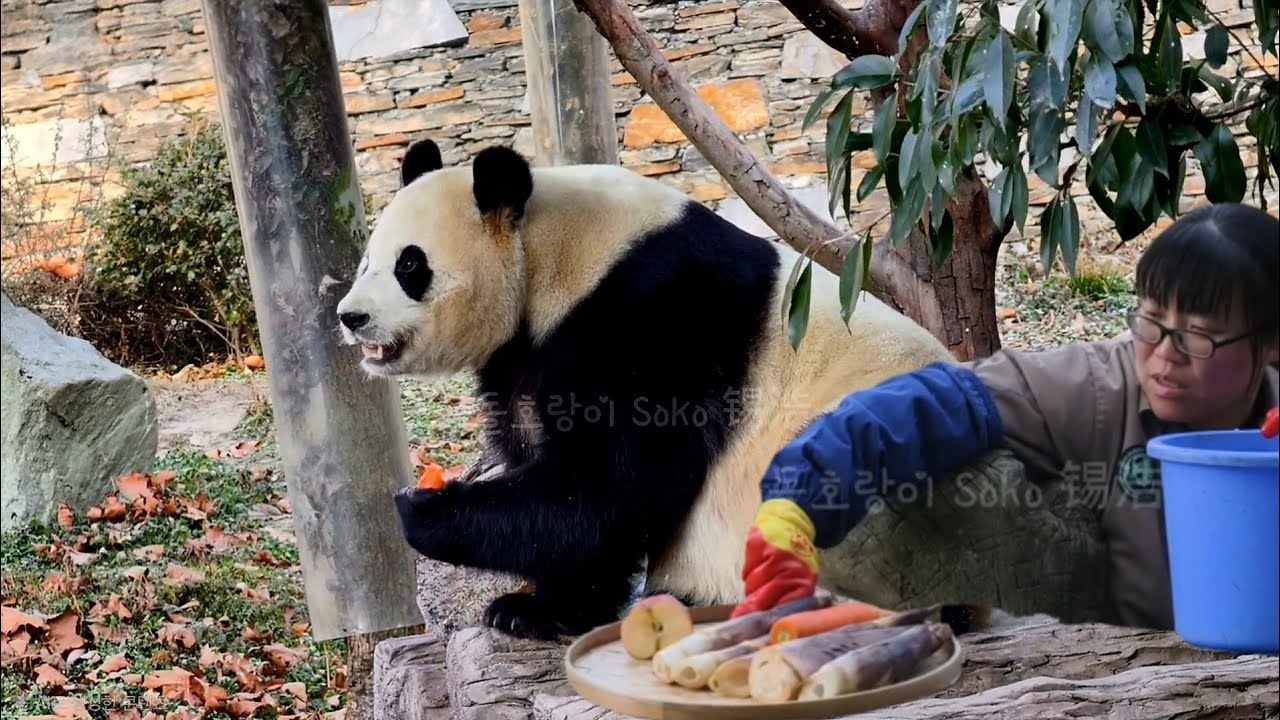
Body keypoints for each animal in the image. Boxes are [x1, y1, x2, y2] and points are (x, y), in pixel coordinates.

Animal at [335, 138, 955, 640]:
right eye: (366, 262)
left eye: (410, 266)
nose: (351, 317)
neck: (554, 255)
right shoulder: (527, 355)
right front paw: (535, 607)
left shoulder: (651, 320)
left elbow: (611, 490)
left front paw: (429, 512)